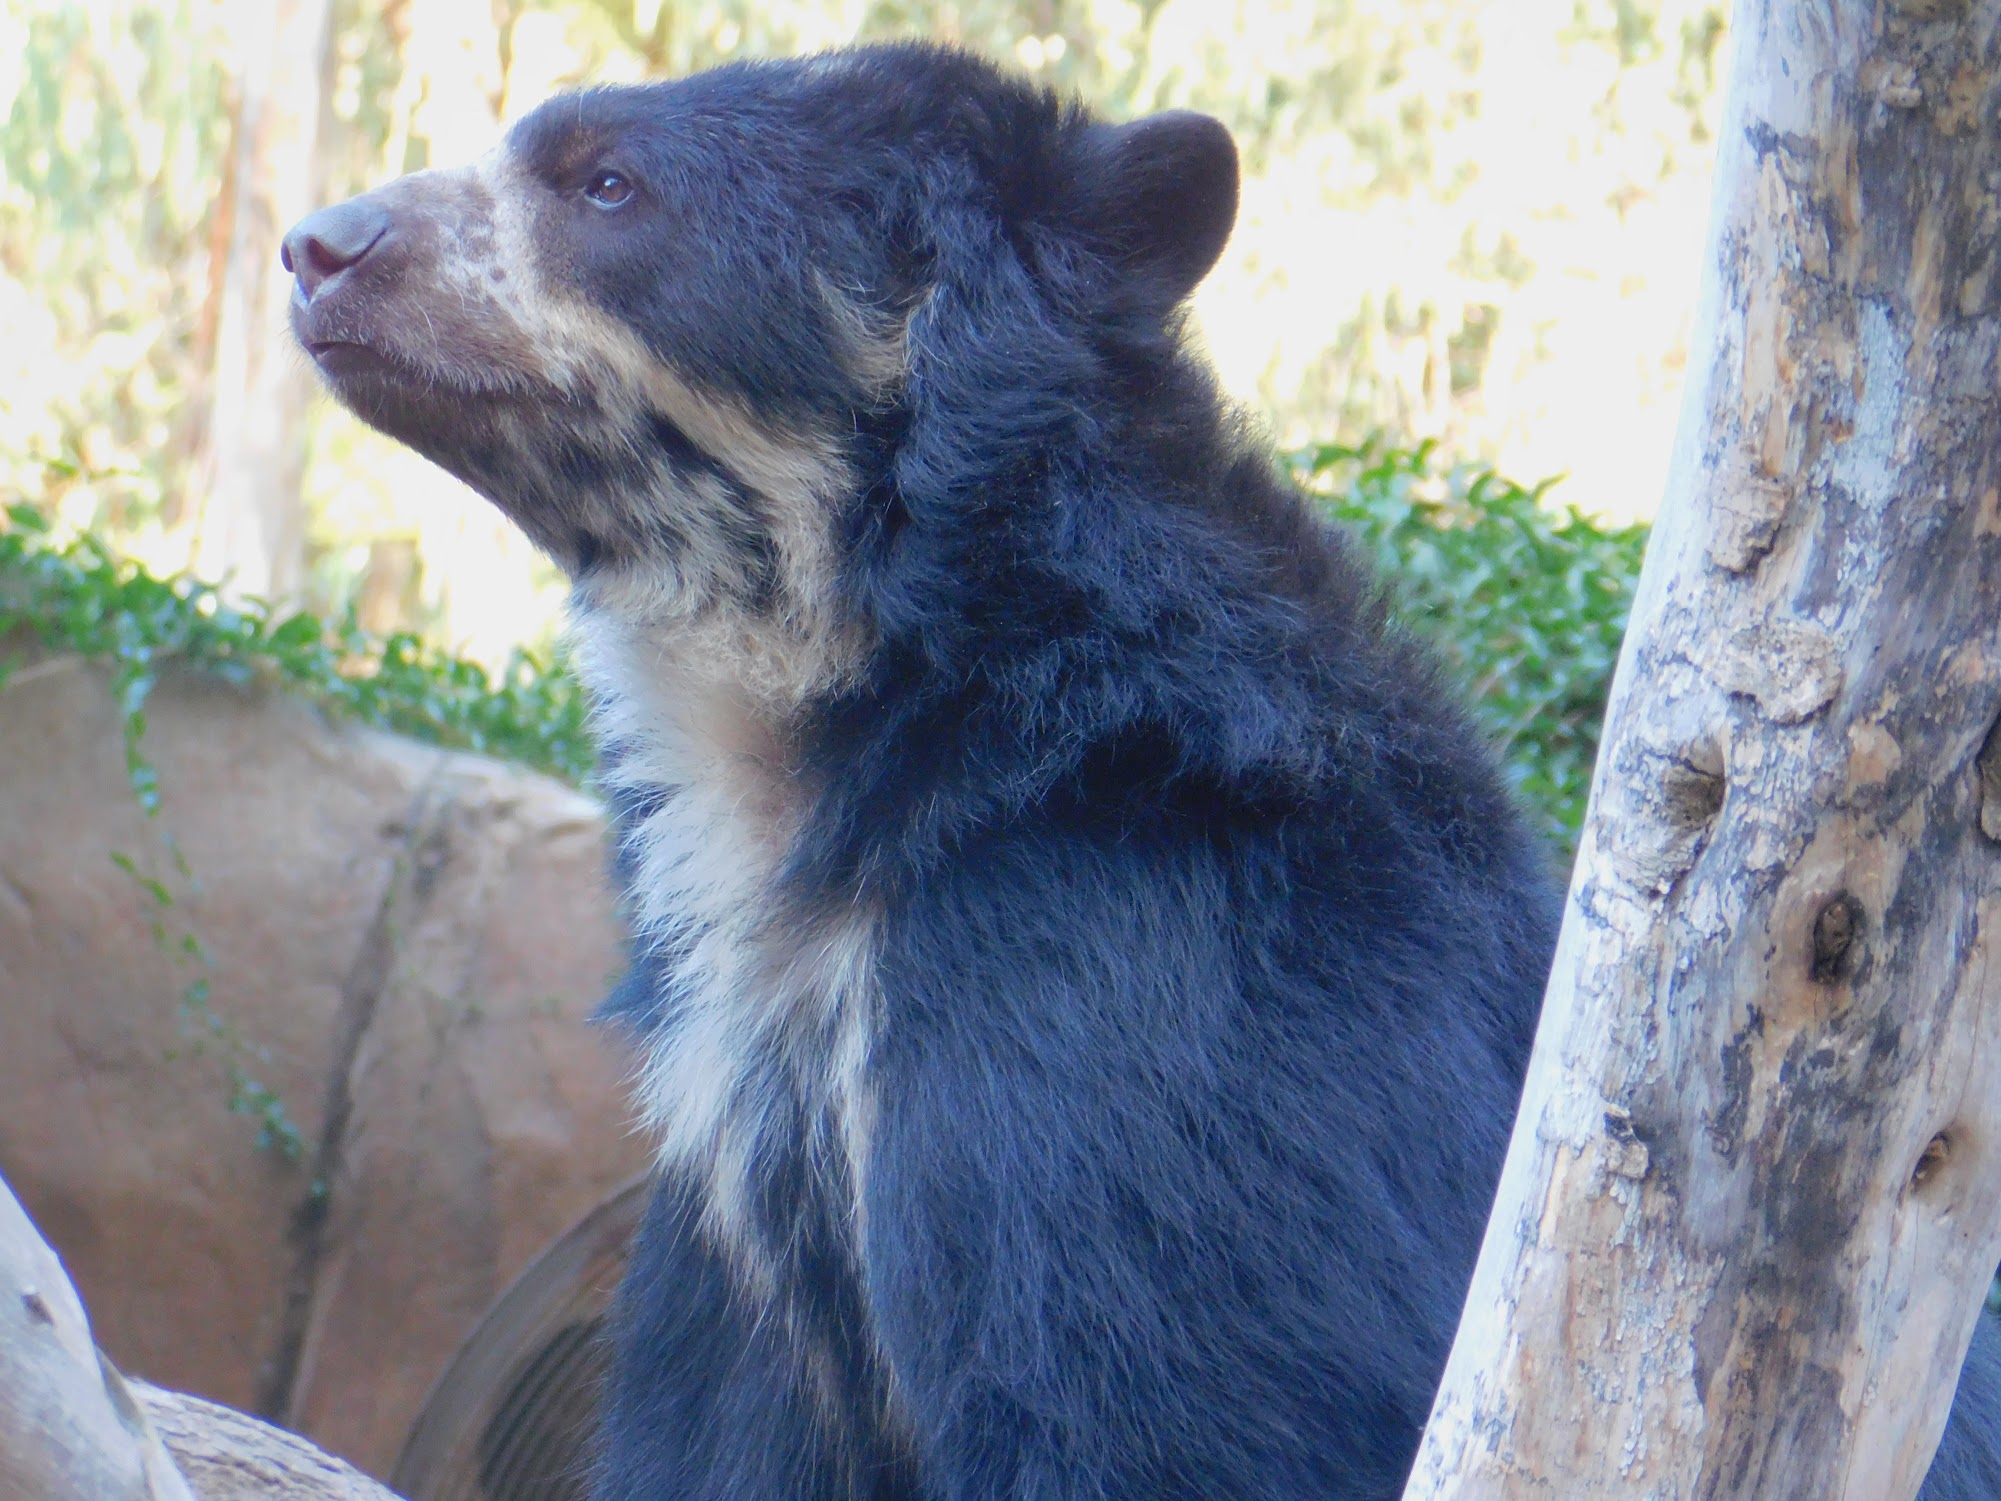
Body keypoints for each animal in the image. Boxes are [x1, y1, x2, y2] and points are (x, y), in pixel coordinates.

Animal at [281, 42, 2001, 1500]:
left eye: (605, 184)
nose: (319, 246)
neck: (844, 722)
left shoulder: (1118, 996)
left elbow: (1197, 1401)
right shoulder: (739, 1179)